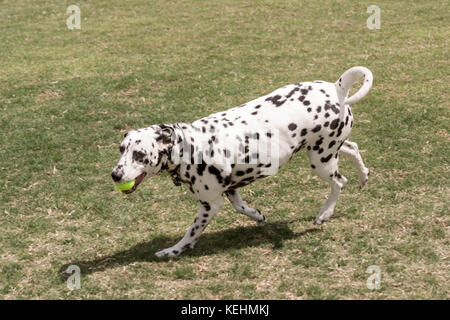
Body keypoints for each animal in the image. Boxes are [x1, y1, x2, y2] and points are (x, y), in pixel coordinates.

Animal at [112, 65, 372, 258]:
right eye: (122, 149)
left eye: (139, 155)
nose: (115, 175)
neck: (190, 145)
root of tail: (336, 88)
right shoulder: (232, 189)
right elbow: (243, 208)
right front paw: (258, 216)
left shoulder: (209, 205)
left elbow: (190, 233)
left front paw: (173, 250)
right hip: (326, 150)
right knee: (353, 149)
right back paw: (363, 176)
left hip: (321, 161)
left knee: (339, 181)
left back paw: (324, 213)